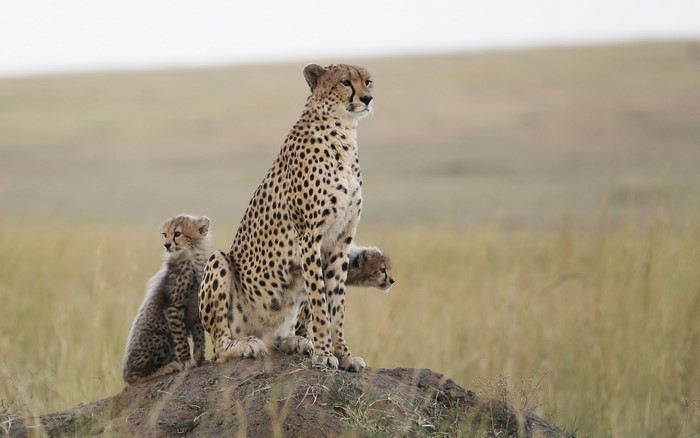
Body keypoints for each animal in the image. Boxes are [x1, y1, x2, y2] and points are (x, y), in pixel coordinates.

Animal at [123, 214, 210, 387]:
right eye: (165, 234)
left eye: (177, 233)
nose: (167, 245)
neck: (191, 256)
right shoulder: (173, 306)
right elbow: (181, 337)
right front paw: (185, 361)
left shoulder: (195, 309)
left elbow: (199, 336)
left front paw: (200, 359)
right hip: (160, 338)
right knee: (134, 379)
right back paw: (167, 367)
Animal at [198, 63, 374, 371]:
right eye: (345, 82)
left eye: (368, 81)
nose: (367, 99)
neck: (343, 133)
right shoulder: (309, 238)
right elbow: (320, 301)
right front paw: (326, 353)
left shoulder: (341, 240)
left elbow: (337, 303)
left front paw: (344, 354)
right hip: (219, 263)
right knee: (219, 349)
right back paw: (246, 345)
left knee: (279, 338)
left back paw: (295, 342)